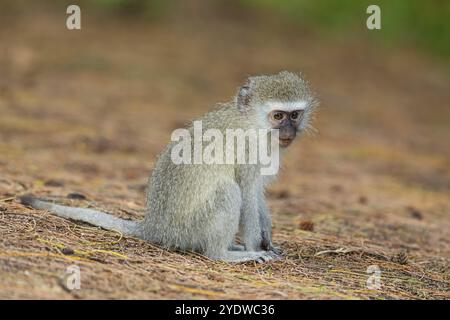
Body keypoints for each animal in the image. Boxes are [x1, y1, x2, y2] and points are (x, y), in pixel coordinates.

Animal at [20, 70, 316, 262]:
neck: (253, 124)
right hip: (189, 228)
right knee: (228, 192)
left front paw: (269, 241)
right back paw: (224, 254)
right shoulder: (248, 151)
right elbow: (248, 195)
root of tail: (156, 227)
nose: (288, 132)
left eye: (294, 115)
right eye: (278, 116)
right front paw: (258, 247)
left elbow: (259, 196)